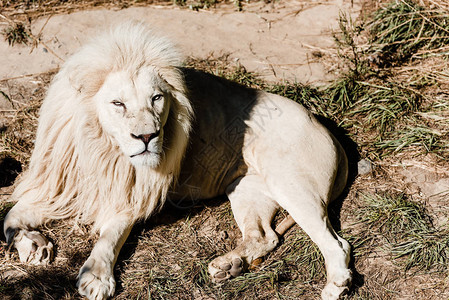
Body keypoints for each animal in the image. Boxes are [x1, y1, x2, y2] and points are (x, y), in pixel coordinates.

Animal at [2, 21, 350, 300]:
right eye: (118, 103)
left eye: (157, 98)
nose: (147, 137)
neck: (101, 149)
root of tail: (324, 127)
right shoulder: (56, 188)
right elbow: (10, 217)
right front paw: (33, 245)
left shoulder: (130, 198)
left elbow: (108, 238)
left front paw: (95, 277)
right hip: (245, 189)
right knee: (265, 236)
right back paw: (229, 265)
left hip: (290, 182)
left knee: (337, 243)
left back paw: (337, 285)